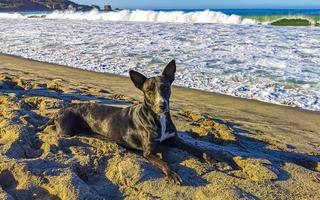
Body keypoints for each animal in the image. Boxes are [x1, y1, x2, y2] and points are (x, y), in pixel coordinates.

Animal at [42, 60, 212, 185]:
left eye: (165, 87)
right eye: (149, 91)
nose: (162, 105)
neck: (158, 118)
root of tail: (60, 110)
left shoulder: (174, 139)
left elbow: (195, 149)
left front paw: (210, 157)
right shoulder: (148, 152)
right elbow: (164, 163)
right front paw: (173, 174)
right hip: (66, 131)